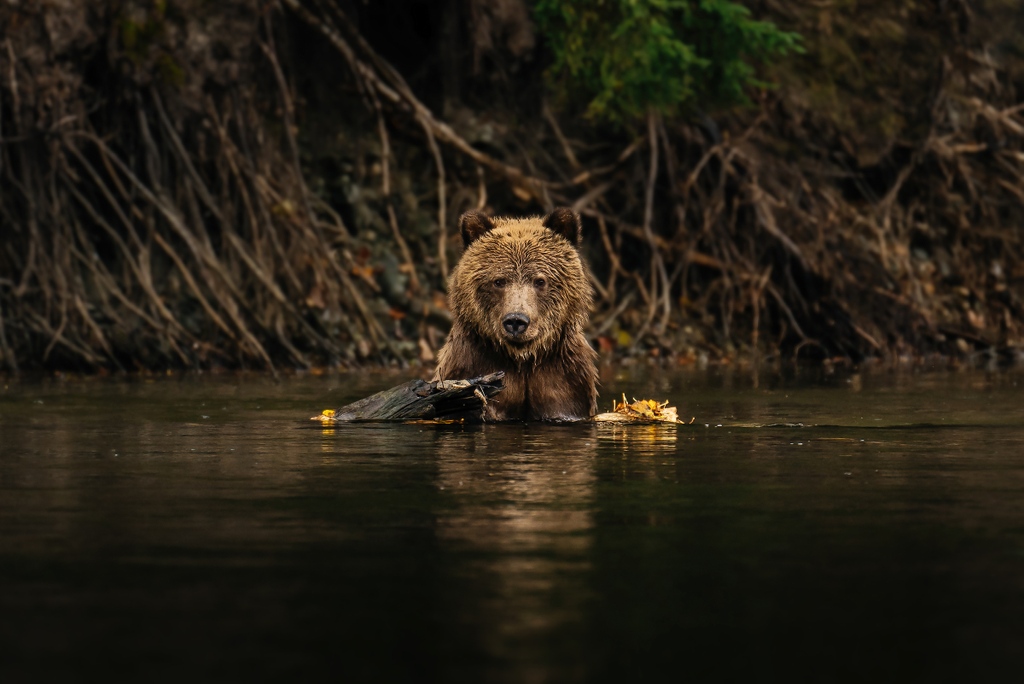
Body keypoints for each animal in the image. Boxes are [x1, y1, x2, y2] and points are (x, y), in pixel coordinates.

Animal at [433, 207, 599, 421]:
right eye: (499, 281)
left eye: (540, 281)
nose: (516, 321)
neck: (521, 360)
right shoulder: (471, 367)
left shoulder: (565, 382)